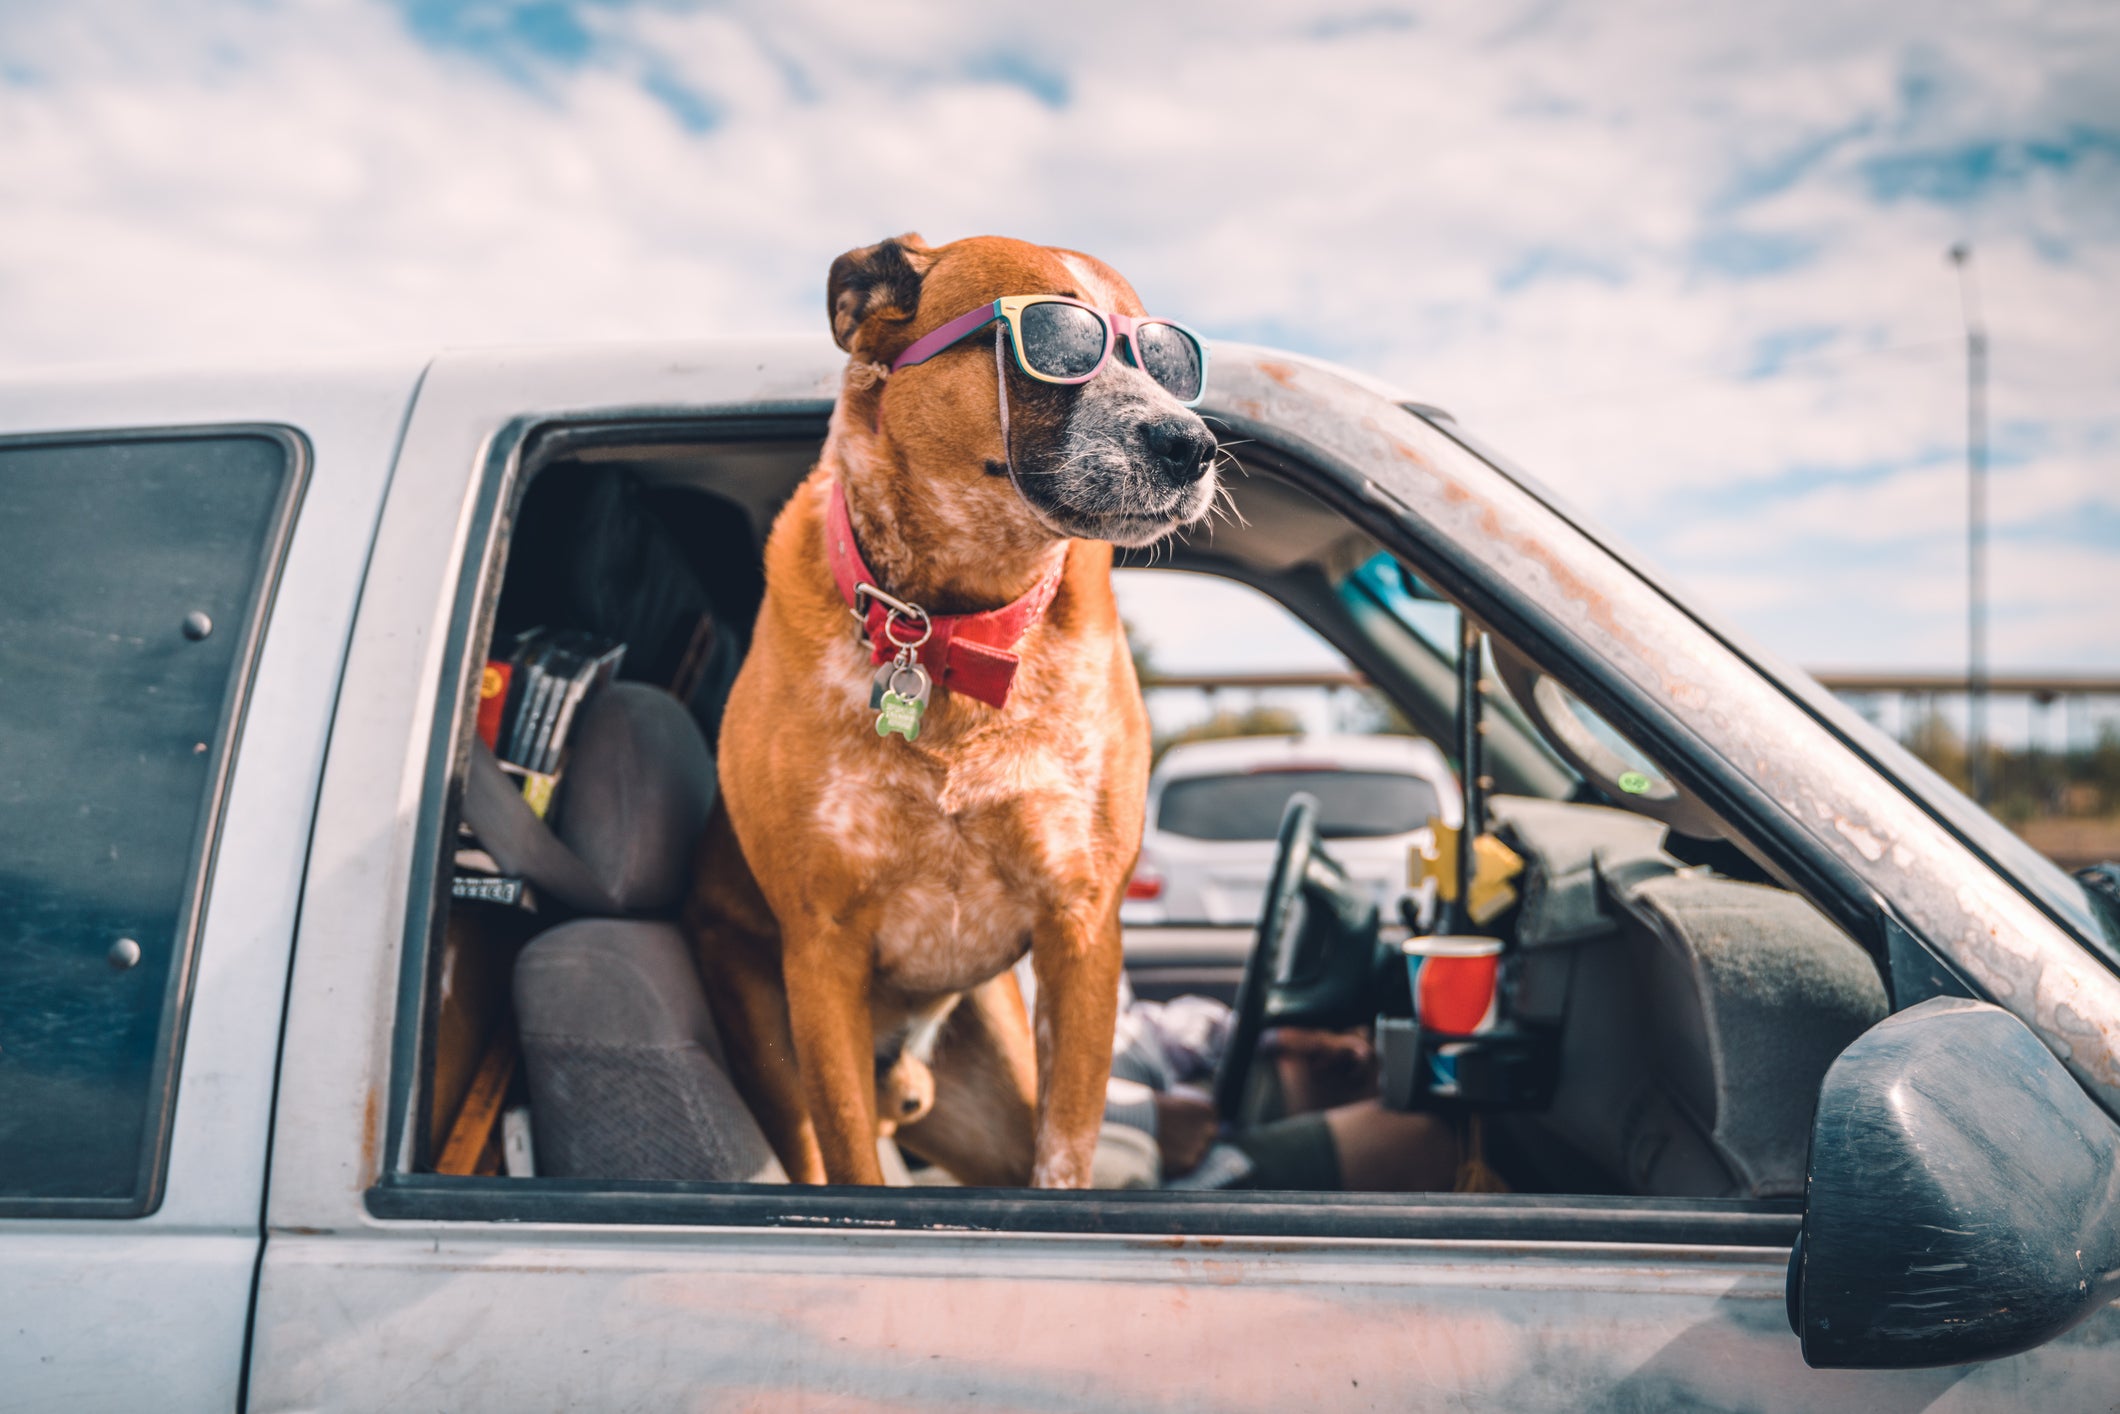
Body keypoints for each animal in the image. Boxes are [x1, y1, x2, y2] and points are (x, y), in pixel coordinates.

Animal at [686, 232, 1221, 1187]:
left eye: (1168, 363)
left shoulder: (1082, 929)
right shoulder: (820, 954)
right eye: (1056, 344)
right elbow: (855, 1173)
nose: (1192, 443)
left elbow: (1065, 1158)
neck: (954, 628)